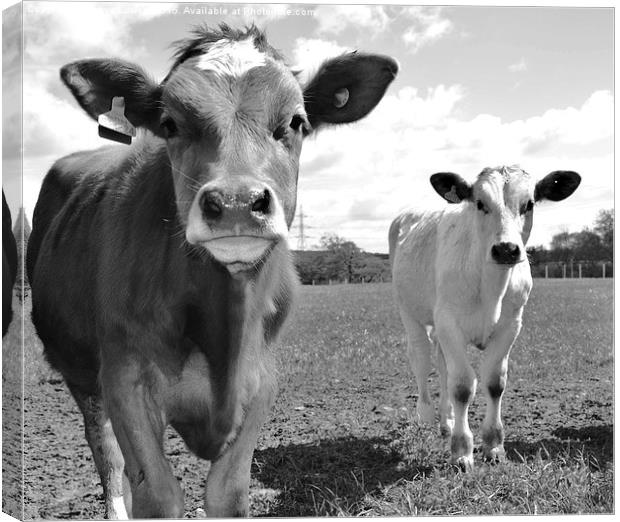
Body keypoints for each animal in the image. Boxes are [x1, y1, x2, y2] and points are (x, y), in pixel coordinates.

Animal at [26, 23, 398, 516]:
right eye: (169, 124)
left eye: (296, 122)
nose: (237, 203)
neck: (222, 323)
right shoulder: (125, 381)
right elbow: (156, 494)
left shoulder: (260, 382)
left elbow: (228, 493)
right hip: (79, 370)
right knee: (104, 449)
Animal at [392, 165, 580, 470]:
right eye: (480, 203)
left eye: (529, 204)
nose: (506, 249)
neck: (491, 286)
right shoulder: (449, 323)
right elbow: (461, 386)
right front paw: (461, 451)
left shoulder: (510, 325)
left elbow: (494, 382)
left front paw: (493, 445)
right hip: (409, 312)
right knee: (421, 359)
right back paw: (427, 415)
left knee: (442, 366)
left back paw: (447, 421)